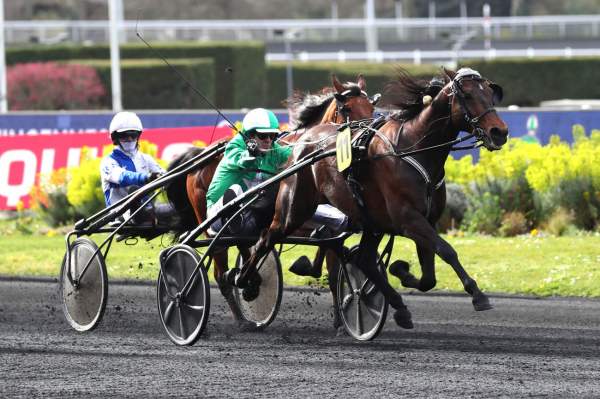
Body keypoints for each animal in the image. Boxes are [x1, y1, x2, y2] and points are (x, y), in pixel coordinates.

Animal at [166, 73, 378, 330]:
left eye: (372, 107)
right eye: (346, 108)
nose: (365, 137)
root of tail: (199, 157)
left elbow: (330, 253)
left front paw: (339, 316)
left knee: (243, 243)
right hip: (208, 220)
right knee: (220, 267)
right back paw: (237, 315)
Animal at [237, 68, 508, 332]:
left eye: (490, 94)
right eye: (468, 96)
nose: (500, 132)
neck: (412, 148)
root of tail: (303, 144)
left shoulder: (425, 220)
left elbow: (429, 277)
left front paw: (401, 271)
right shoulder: (409, 219)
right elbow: (447, 250)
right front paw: (478, 294)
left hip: (370, 221)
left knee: (364, 259)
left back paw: (393, 305)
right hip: (294, 209)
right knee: (266, 238)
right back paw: (244, 280)